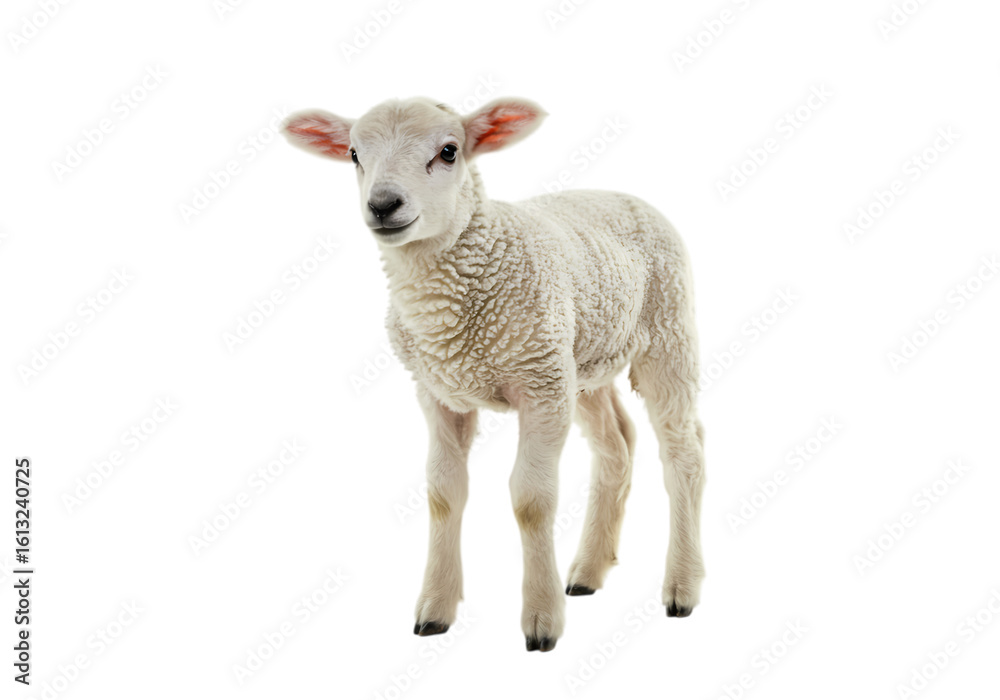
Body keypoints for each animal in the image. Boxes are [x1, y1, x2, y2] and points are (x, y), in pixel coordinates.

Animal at [282, 97, 706, 652]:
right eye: (354, 153)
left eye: (448, 151)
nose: (383, 204)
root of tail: (621, 194)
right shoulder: (440, 392)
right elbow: (443, 494)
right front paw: (435, 610)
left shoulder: (540, 386)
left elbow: (531, 500)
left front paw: (542, 620)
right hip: (581, 360)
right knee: (616, 445)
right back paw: (588, 572)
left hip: (666, 332)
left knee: (684, 453)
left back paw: (682, 587)